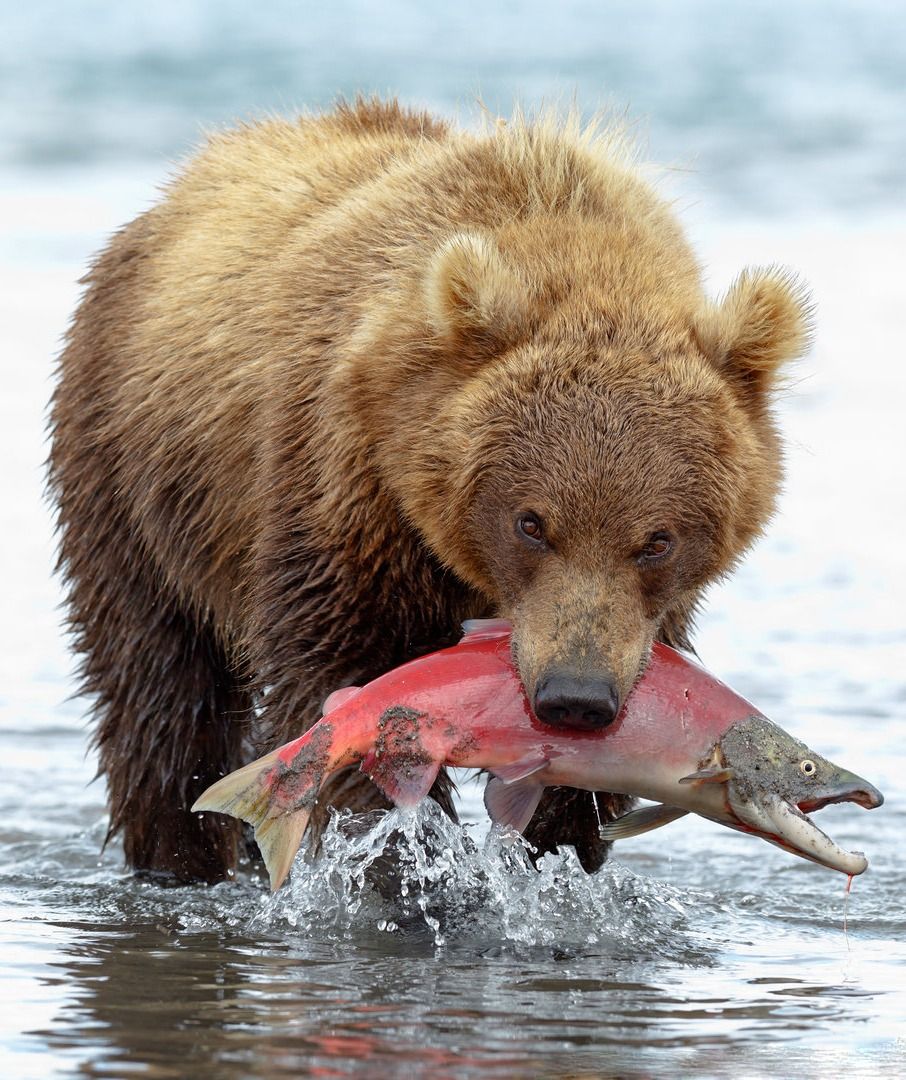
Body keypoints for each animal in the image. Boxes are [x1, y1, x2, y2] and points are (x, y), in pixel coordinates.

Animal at [49, 98, 811, 884]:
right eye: (531, 522)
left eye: (657, 540)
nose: (575, 698)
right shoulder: (348, 497)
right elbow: (346, 670)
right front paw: (400, 859)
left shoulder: (645, 622)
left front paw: (554, 843)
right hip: (131, 474)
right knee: (160, 693)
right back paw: (178, 853)